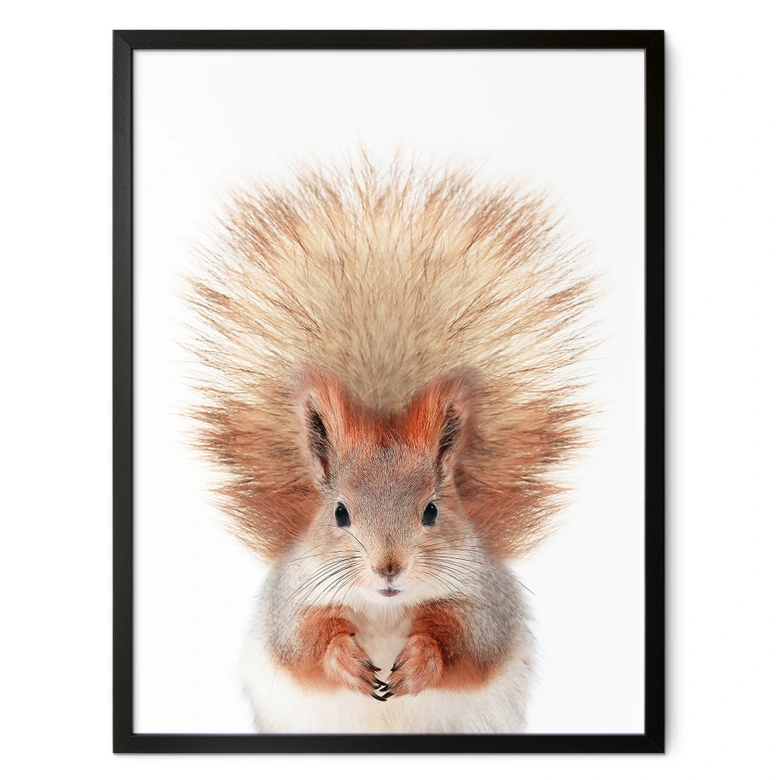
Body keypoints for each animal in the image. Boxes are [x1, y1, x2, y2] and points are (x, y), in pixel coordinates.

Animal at [185, 156, 594, 734]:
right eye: (338, 513)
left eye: (432, 511)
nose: (388, 567)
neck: (382, 607)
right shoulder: (293, 602)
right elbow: (304, 644)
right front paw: (345, 661)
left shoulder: (483, 603)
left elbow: (466, 643)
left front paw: (420, 662)